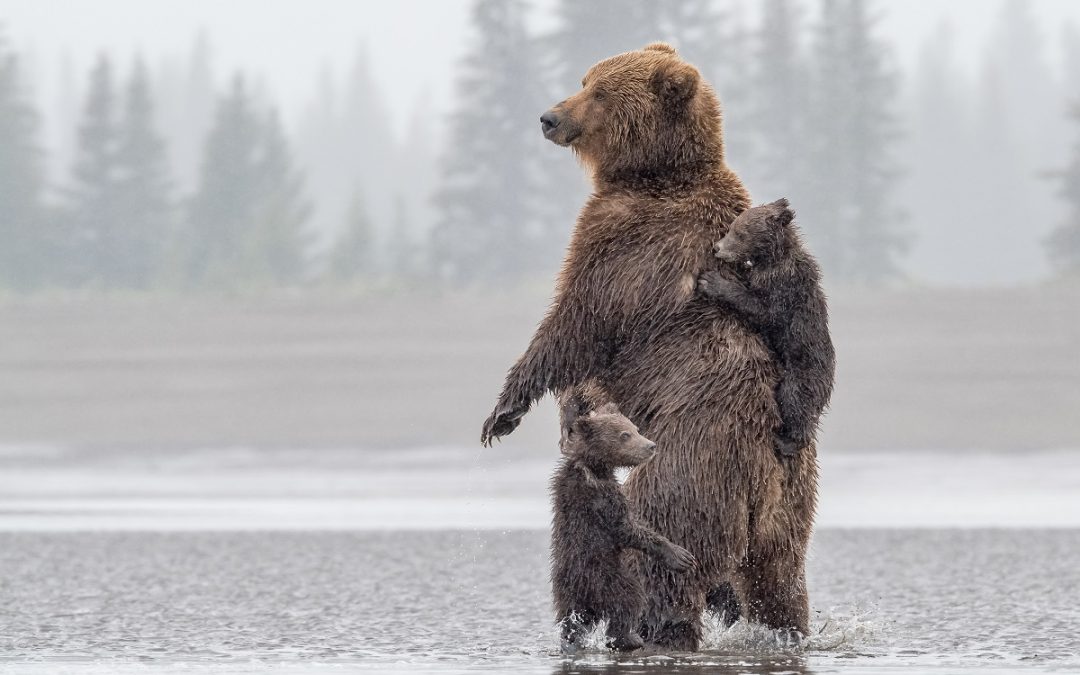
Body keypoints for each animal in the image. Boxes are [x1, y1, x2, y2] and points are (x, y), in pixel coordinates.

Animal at [551, 393, 697, 652]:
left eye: (635, 428)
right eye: (624, 435)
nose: (651, 445)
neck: (593, 467)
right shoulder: (601, 499)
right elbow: (627, 529)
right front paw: (680, 556)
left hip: (567, 593)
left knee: (572, 620)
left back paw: (572, 641)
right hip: (606, 576)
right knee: (628, 600)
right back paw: (629, 638)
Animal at [698, 198, 836, 459]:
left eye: (740, 233)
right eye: (731, 227)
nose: (716, 248)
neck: (771, 259)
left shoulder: (785, 287)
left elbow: (765, 312)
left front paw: (712, 281)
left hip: (802, 372)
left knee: (795, 402)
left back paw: (786, 441)